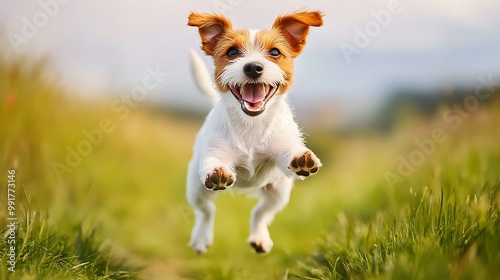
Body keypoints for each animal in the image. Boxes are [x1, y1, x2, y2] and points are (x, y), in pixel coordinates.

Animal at [186, 9, 322, 254]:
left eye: (275, 52)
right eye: (232, 51)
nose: (252, 67)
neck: (252, 123)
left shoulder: (282, 152)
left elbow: (290, 153)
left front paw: (301, 158)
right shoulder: (214, 153)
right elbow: (214, 162)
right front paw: (218, 171)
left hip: (278, 191)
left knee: (261, 212)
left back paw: (259, 237)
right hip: (196, 188)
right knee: (206, 210)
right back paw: (202, 237)